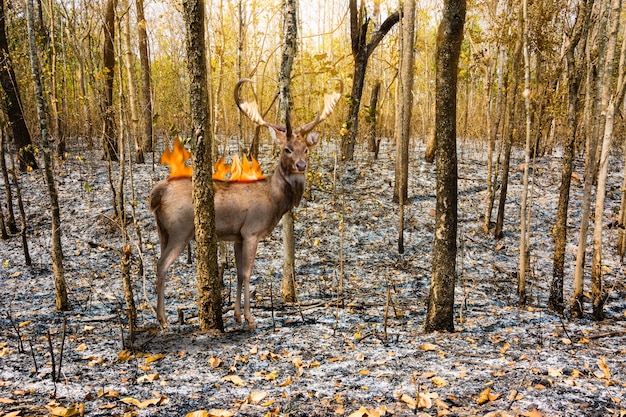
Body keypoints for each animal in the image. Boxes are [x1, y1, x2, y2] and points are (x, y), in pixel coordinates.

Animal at [149, 77, 342, 324]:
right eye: (286, 149)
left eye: (306, 149)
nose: (301, 165)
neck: (274, 199)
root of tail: (159, 191)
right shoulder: (252, 230)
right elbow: (248, 272)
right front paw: (250, 318)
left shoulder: (237, 236)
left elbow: (239, 274)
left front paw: (238, 315)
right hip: (179, 229)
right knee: (161, 264)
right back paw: (163, 319)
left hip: (162, 230)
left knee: (158, 261)